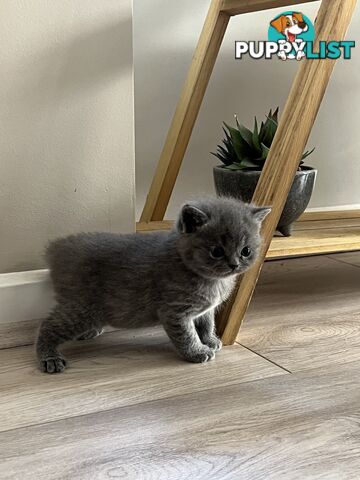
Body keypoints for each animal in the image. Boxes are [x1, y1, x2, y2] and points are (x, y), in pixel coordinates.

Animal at [35, 197, 270, 374]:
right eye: (216, 251)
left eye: (246, 251)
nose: (234, 264)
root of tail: (57, 248)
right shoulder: (174, 311)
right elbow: (186, 334)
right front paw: (197, 352)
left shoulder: (205, 310)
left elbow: (206, 323)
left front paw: (210, 340)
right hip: (81, 309)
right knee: (47, 325)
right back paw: (50, 357)